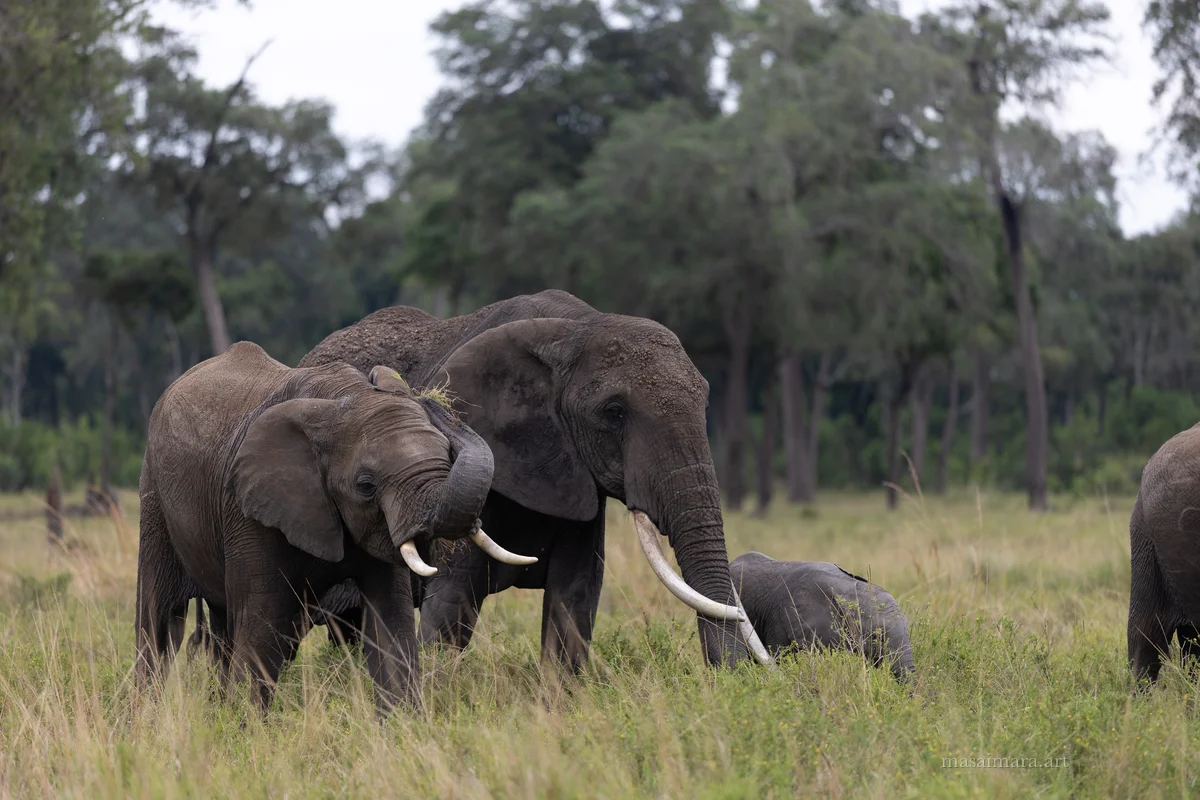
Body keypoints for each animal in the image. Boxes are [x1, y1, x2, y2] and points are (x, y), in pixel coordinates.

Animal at [135, 341, 534, 712]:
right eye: (366, 485)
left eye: (447, 457)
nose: (430, 401)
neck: (340, 397)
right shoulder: (248, 509)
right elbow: (262, 625)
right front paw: (243, 730)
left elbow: (392, 621)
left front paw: (404, 726)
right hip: (154, 495)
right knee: (158, 620)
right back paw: (146, 720)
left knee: (220, 628)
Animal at [248, 289, 771, 672]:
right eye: (614, 413)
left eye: (705, 399)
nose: (737, 677)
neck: (577, 327)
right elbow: (451, 607)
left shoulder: (575, 481)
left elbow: (574, 600)